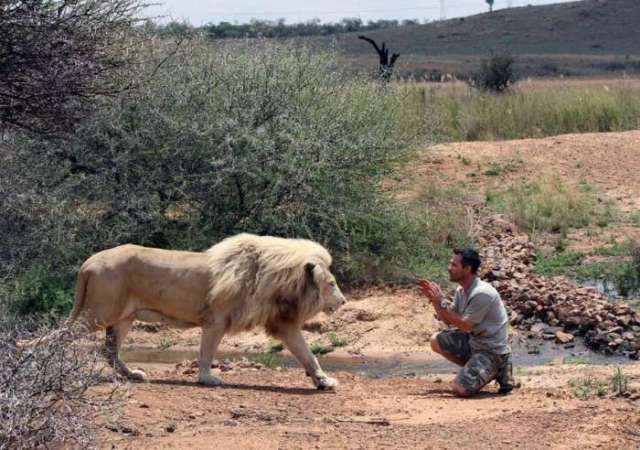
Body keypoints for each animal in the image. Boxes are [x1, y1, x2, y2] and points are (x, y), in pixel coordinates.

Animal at [65, 234, 348, 388]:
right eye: (332, 284)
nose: (344, 301)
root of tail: (88, 262)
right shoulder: (216, 320)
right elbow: (206, 352)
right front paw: (207, 378)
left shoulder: (283, 323)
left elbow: (308, 355)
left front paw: (323, 381)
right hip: (99, 312)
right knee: (63, 335)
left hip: (124, 317)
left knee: (109, 350)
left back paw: (133, 374)